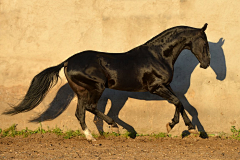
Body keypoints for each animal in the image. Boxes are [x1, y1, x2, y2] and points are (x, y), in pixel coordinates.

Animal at [3, 23, 210, 141]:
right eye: (205, 42)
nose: (206, 63)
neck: (158, 55)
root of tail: (68, 61)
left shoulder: (166, 86)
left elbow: (181, 103)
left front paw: (189, 128)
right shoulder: (156, 87)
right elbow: (176, 102)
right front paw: (175, 126)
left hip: (82, 91)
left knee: (80, 112)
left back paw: (91, 138)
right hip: (96, 87)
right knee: (91, 108)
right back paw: (115, 127)